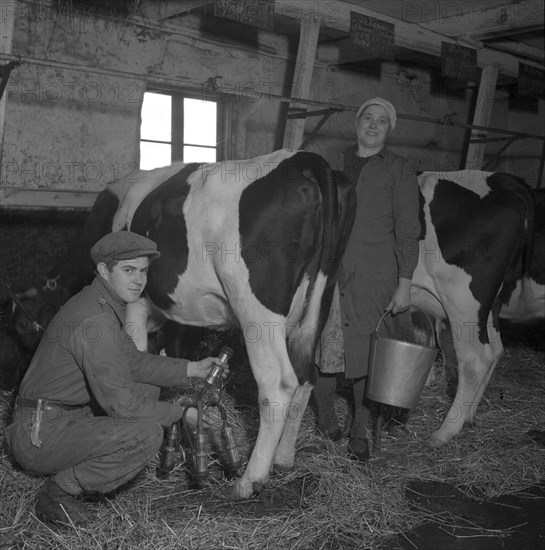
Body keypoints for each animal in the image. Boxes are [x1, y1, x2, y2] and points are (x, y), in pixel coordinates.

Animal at [27, 150, 354, 500]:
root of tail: (303, 159)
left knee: (278, 384)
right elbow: (174, 354)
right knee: (306, 375)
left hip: (255, 308)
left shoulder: (135, 304)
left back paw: (249, 480)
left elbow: (136, 356)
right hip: (318, 303)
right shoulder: (182, 311)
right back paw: (283, 458)